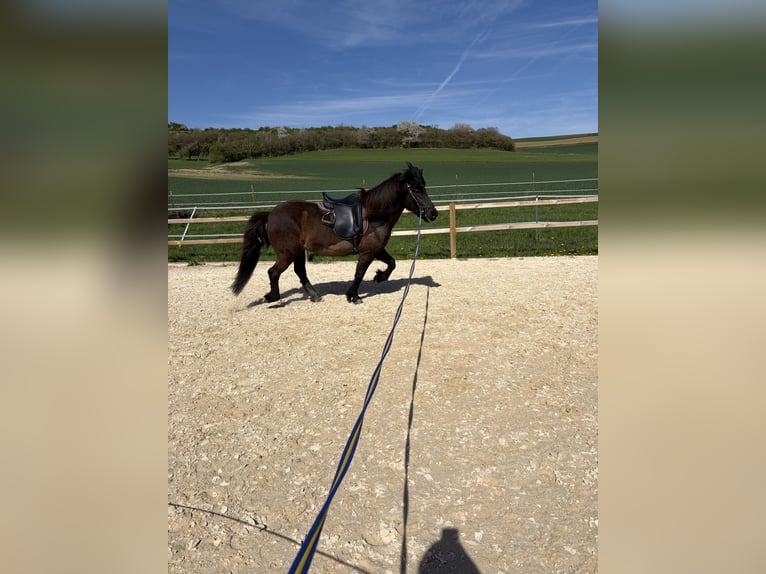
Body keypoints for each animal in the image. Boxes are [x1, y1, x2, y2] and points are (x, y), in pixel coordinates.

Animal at [231, 162, 438, 304]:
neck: (373, 215)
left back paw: (314, 296)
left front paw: (380, 277)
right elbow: (359, 273)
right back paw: (273, 297)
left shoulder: (376, 249)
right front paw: (354, 296)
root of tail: (271, 213)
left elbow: (392, 263)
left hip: (298, 252)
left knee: (300, 272)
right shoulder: (368, 252)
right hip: (287, 253)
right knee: (273, 272)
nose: (433, 213)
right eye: (417, 190)